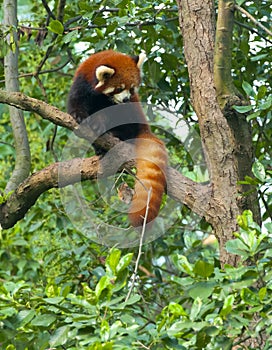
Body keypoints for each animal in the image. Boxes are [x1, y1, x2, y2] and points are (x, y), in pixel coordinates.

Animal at [67, 50, 167, 228]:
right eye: (119, 88)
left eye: (132, 88)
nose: (126, 99)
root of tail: (145, 129)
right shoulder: (80, 84)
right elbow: (76, 101)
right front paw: (78, 115)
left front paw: (100, 124)